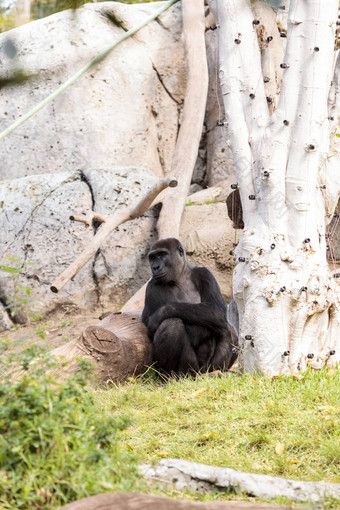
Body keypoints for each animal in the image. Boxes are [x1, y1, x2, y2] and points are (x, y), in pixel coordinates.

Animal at [141, 238, 236, 374]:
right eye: (152, 257)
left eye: (162, 254)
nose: (155, 267)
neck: (180, 277)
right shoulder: (151, 287)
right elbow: (150, 325)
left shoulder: (204, 274)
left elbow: (218, 310)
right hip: (190, 371)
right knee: (172, 324)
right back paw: (171, 376)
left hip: (206, 369)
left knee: (227, 327)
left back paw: (216, 371)